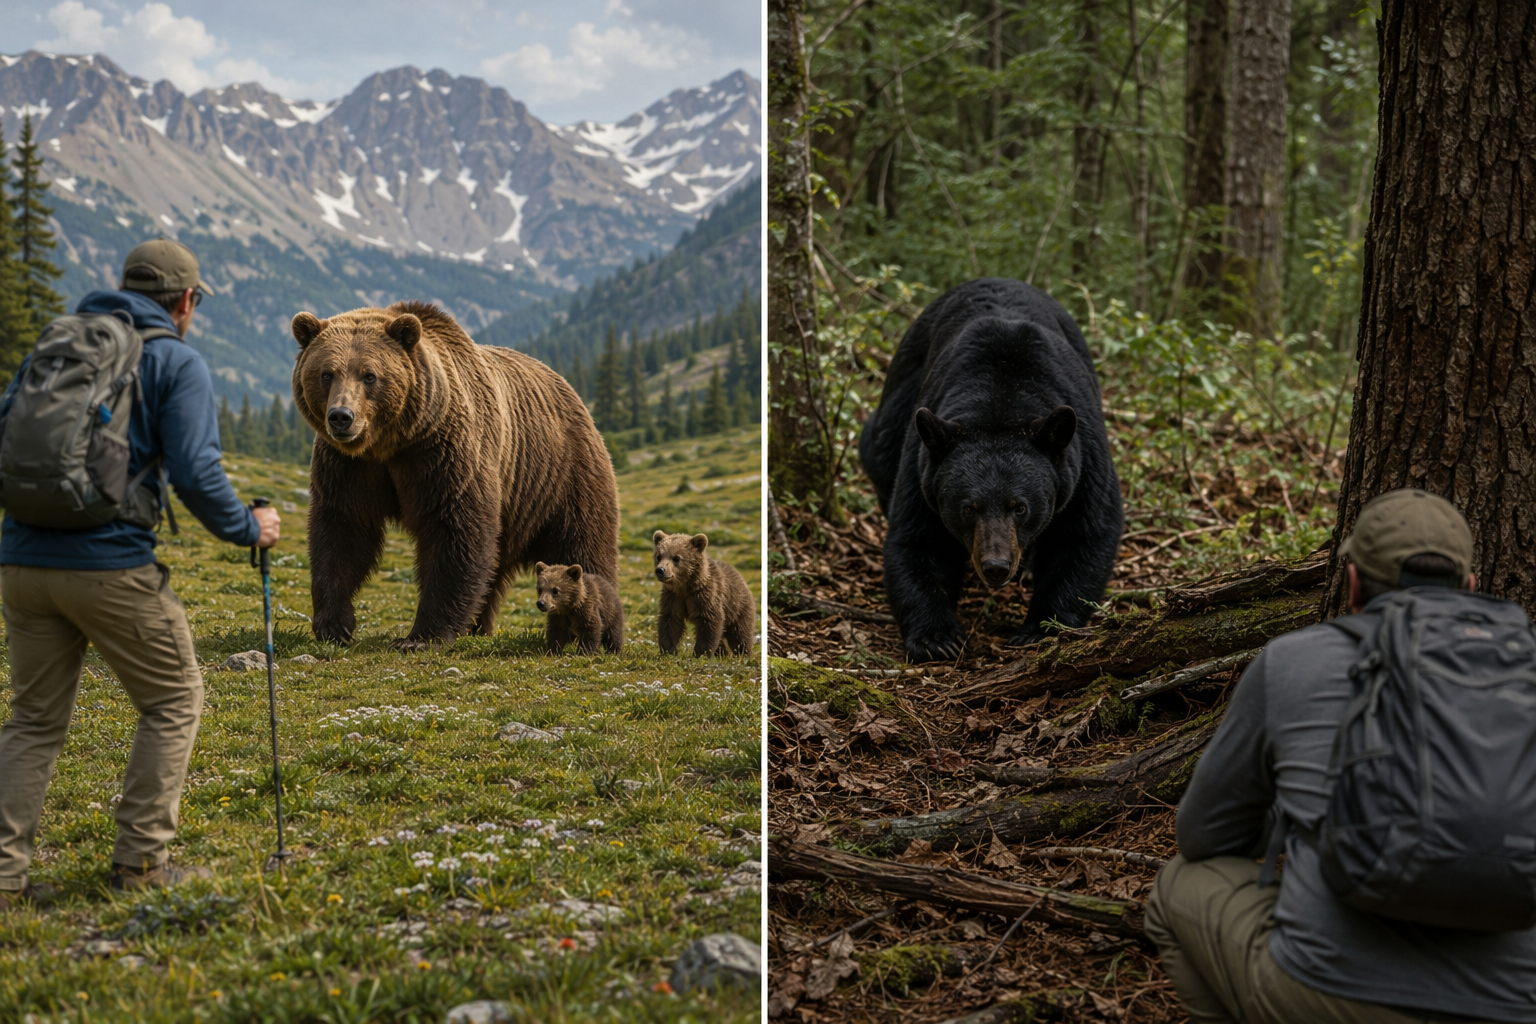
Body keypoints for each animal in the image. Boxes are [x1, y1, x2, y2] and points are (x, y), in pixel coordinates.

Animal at [290, 301, 620, 647]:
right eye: (326, 373)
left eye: (369, 375)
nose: (342, 416)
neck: (389, 443)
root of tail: (568, 388)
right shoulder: (348, 467)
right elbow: (343, 530)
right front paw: (333, 625)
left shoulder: (444, 454)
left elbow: (455, 532)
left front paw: (422, 636)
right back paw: (478, 625)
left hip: (561, 476)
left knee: (582, 546)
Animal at [858, 278, 1123, 662]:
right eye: (969, 508)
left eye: (1020, 507)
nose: (995, 566)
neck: (1003, 400)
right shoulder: (924, 466)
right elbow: (920, 539)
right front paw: (937, 638)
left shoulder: (1083, 458)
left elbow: (1083, 535)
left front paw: (1041, 629)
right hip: (903, 389)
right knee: (878, 451)